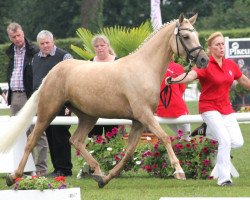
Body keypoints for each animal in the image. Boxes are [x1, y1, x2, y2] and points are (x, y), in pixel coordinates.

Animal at [0, 13, 208, 188]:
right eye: (186, 37)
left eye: (197, 35)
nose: (204, 60)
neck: (144, 67)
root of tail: (51, 73)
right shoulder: (144, 115)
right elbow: (164, 137)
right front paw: (179, 171)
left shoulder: (139, 121)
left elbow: (129, 152)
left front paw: (106, 179)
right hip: (48, 112)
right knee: (31, 141)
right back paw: (13, 176)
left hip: (87, 117)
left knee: (76, 141)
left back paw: (98, 172)